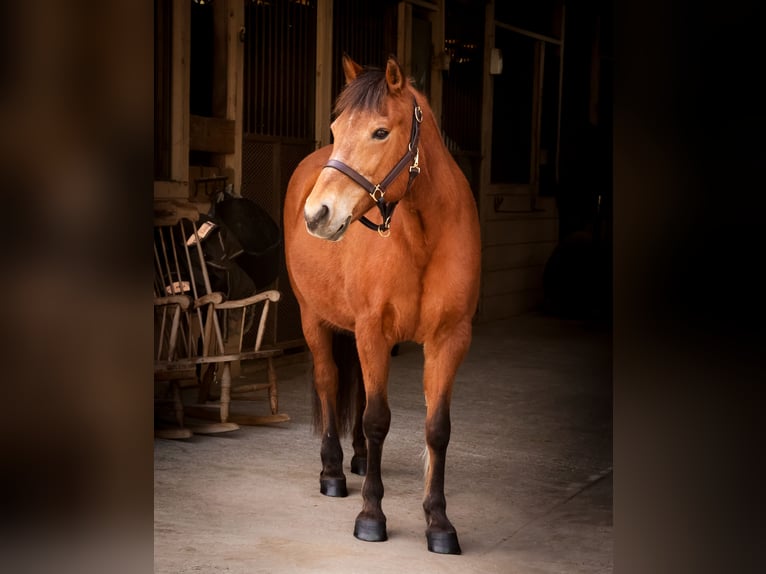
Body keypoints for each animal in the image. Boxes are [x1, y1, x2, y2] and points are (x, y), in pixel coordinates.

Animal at [283, 54, 481, 555]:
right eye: (336, 127)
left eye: (379, 132)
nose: (318, 214)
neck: (423, 237)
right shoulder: (373, 330)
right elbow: (377, 420)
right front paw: (371, 515)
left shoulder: (450, 339)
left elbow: (437, 429)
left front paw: (439, 523)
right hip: (314, 319)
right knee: (330, 381)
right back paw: (333, 470)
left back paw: (355, 458)